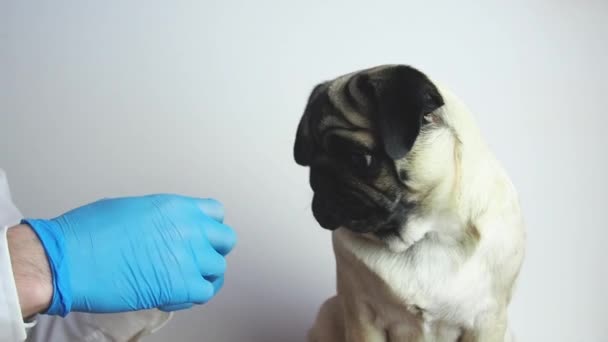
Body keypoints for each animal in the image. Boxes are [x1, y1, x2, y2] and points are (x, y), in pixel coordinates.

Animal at [292, 65, 524, 342]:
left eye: (359, 159)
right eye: (309, 161)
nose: (320, 178)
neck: (427, 234)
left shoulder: (487, 320)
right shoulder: (361, 315)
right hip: (328, 312)